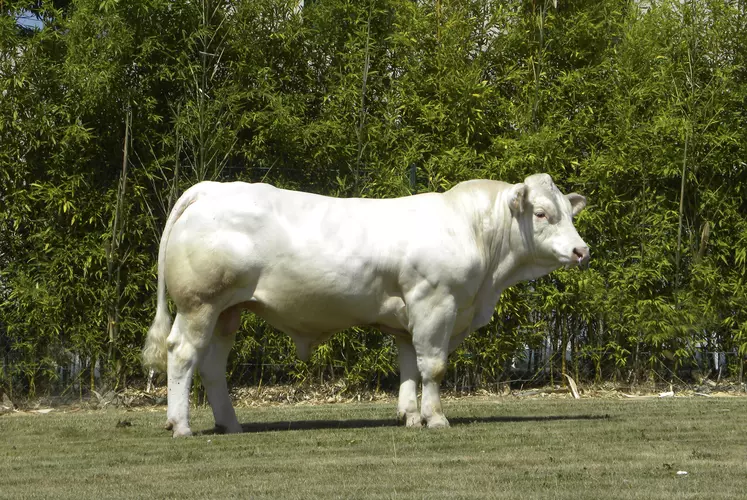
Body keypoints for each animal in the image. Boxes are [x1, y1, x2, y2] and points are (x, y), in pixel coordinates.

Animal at [143, 174, 592, 436]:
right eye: (541, 213)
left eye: (569, 213)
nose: (581, 250)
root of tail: (212, 188)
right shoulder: (435, 302)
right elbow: (434, 367)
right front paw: (436, 418)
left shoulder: (409, 319)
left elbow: (409, 367)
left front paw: (410, 416)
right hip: (200, 304)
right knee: (182, 354)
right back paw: (180, 425)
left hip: (228, 312)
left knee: (213, 366)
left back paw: (231, 424)